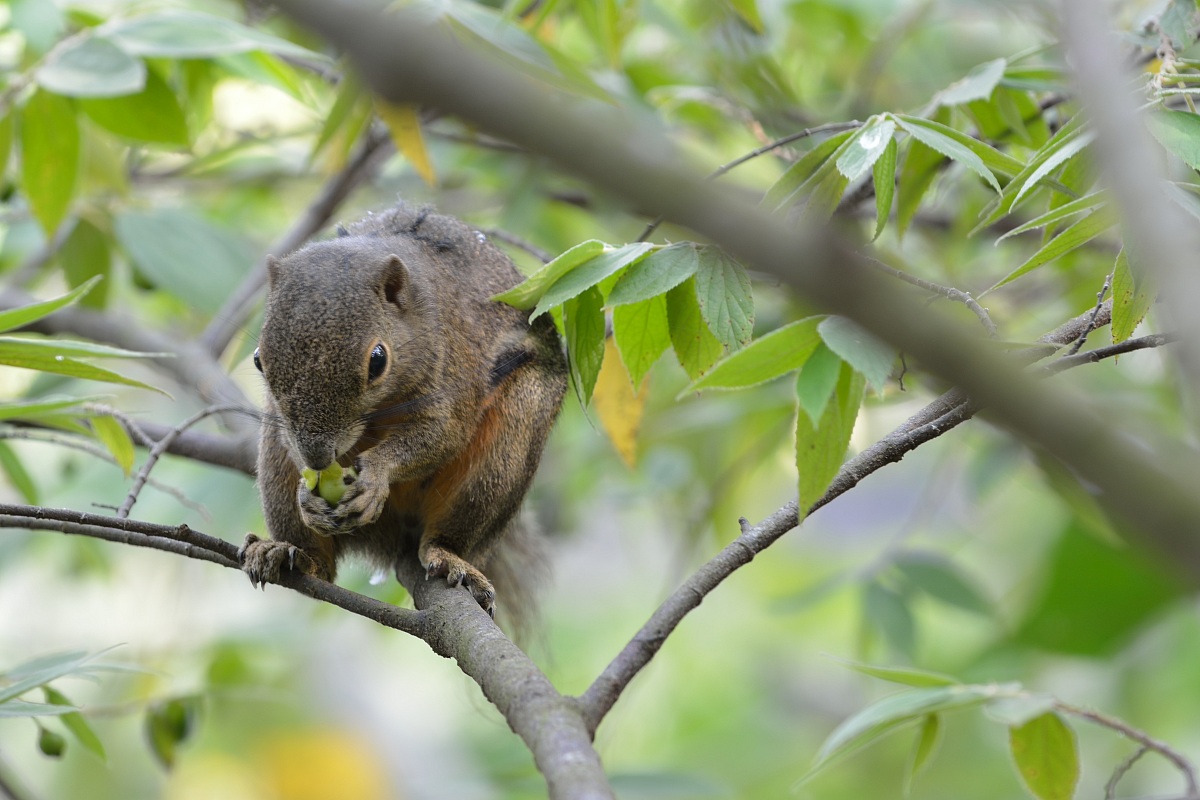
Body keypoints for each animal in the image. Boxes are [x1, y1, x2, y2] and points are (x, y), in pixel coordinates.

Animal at [239, 203, 567, 617]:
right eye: (258, 360)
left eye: (378, 360)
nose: (316, 458)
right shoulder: (284, 427)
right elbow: (291, 443)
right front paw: (307, 496)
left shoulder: (452, 373)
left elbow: (440, 434)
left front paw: (377, 474)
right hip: (273, 461)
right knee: (320, 567)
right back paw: (289, 551)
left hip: (508, 448)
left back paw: (450, 557)